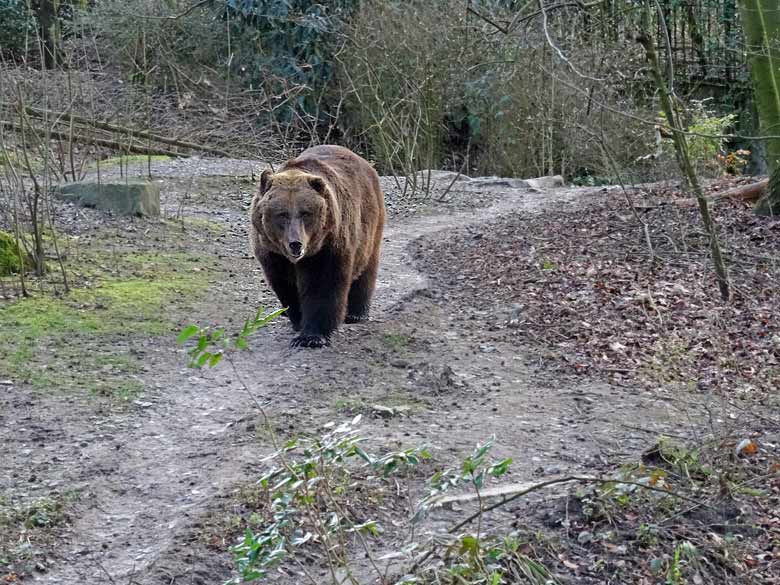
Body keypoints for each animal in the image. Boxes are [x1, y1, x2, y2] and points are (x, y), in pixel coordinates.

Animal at [248, 145, 386, 346]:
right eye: (282, 214)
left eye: (306, 213)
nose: (295, 244)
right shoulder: (272, 253)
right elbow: (286, 285)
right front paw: (297, 320)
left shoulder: (327, 246)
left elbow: (323, 284)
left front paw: (311, 336)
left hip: (370, 223)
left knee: (366, 267)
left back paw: (356, 314)